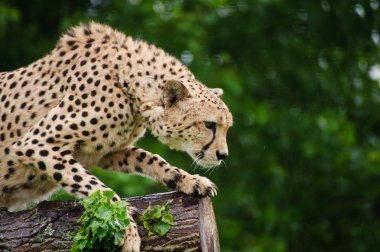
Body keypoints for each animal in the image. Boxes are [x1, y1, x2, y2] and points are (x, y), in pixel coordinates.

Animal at [0, 22, 232, 251]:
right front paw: (125, 227)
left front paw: (188, 180)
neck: (130, 87)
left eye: (227, 127)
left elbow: (149, 158)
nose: (223, 155)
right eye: (209, 125)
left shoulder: (102, 153)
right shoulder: (37, 143)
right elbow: (97, 188)